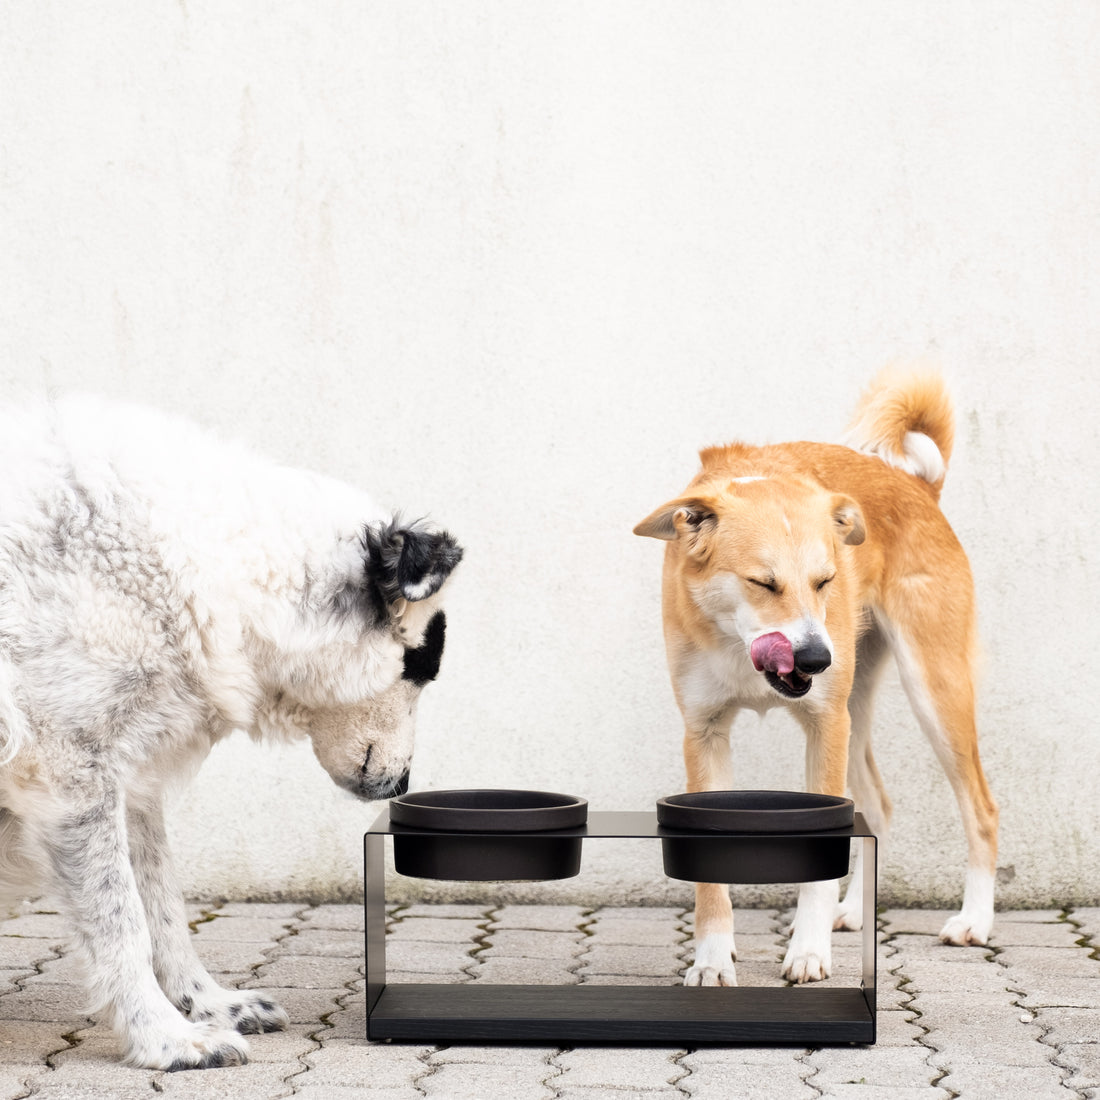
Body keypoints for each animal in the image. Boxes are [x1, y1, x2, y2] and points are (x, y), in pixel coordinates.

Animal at [0, 393, 462, 1064]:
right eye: (423, 667)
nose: (404, 784)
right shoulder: (71, 771)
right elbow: (121, 918)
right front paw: (163, 1036)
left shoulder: (130, 776)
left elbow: (162, 902)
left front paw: (207, 1005)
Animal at [638, 371, 998, 990]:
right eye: (763, 583)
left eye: (827, 580)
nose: (814, 658)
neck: (738, 649)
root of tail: (920, 486)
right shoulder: (704, 732)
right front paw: (712, 956)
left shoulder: (823, 722)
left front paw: (807, 952)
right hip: (854, 710)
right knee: (878, 804)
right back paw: (851, 910)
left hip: (929, 691)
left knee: (980, 808)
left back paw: (973, 920)